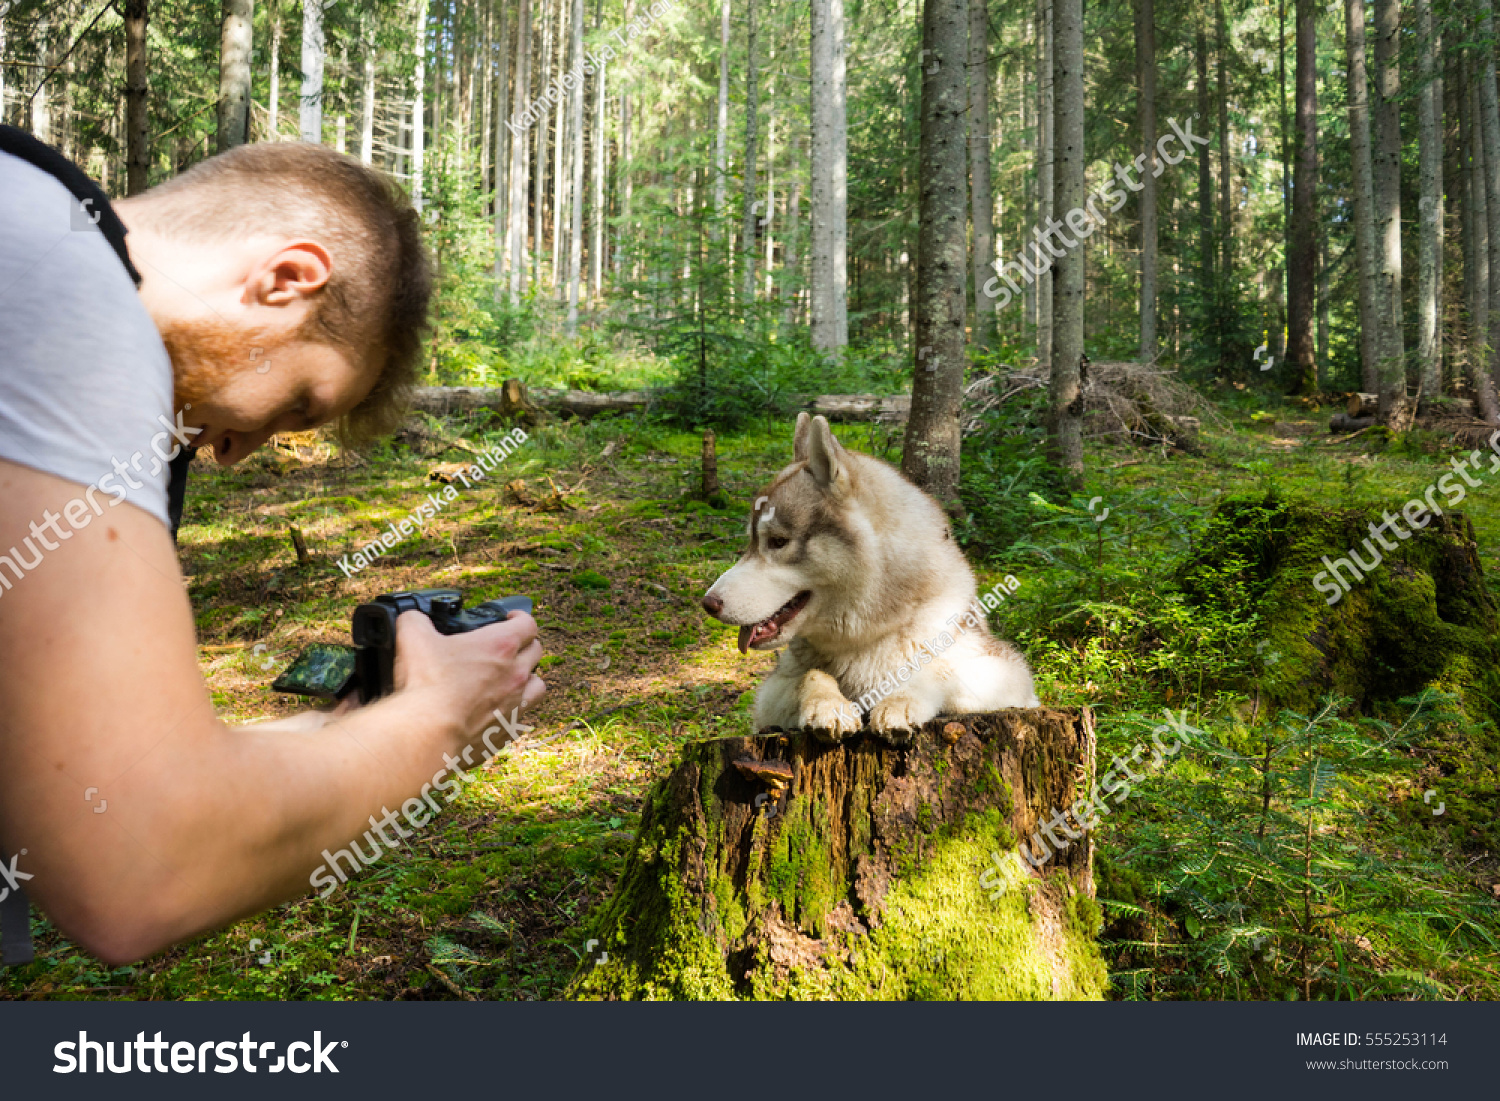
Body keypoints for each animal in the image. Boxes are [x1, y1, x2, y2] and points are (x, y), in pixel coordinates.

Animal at [699, 411, 1032, 738]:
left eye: (778, 542)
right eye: (751, 542)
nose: (708, 604)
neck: (868, 635)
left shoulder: (1008, 673)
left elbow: (935, 669)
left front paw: (900, 701)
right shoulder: (769, 696)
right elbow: (811, 674)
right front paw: (828, 705)